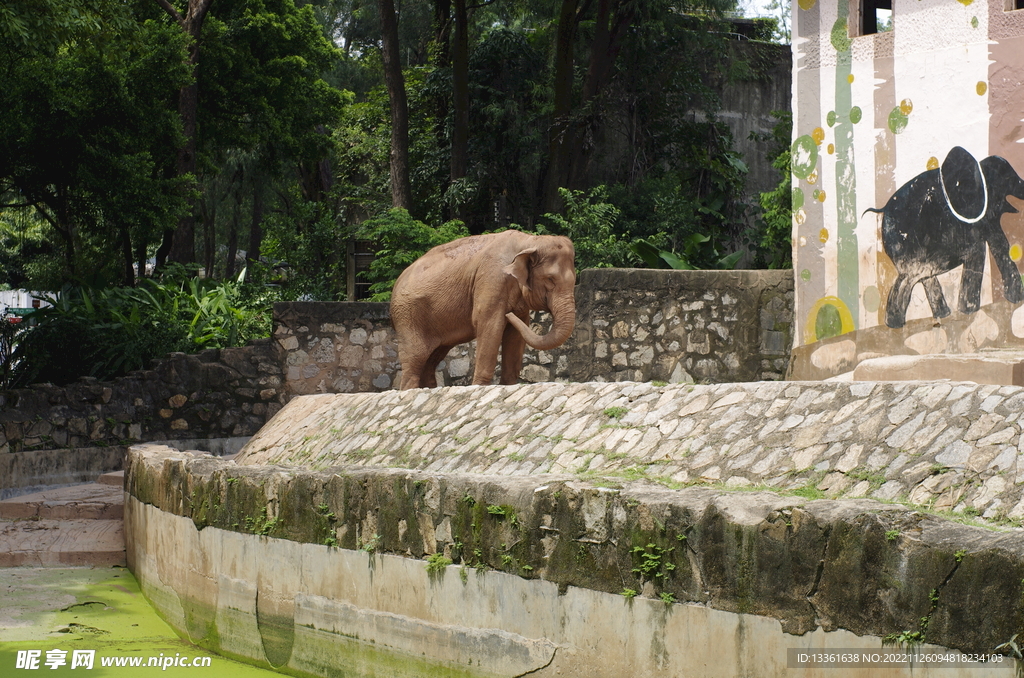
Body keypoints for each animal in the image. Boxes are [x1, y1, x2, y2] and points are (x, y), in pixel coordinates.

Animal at [387, 232, 577, 391]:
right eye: (550, 279)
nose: (508, 313)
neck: (530, 240)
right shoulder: (491, 280)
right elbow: (490, 326)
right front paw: (479, 386)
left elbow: (515, 334)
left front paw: (508, 385)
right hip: (407, 315)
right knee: (416, 357)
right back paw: (410, 391)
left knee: (431, 359)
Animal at [868, 146, 1024, 329]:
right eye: (1008, 179)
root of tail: (883, 209)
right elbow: (983, 249)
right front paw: (969, 312)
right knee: (912, 275)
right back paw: (896, 326)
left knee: (923, 276)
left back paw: (941, 316)